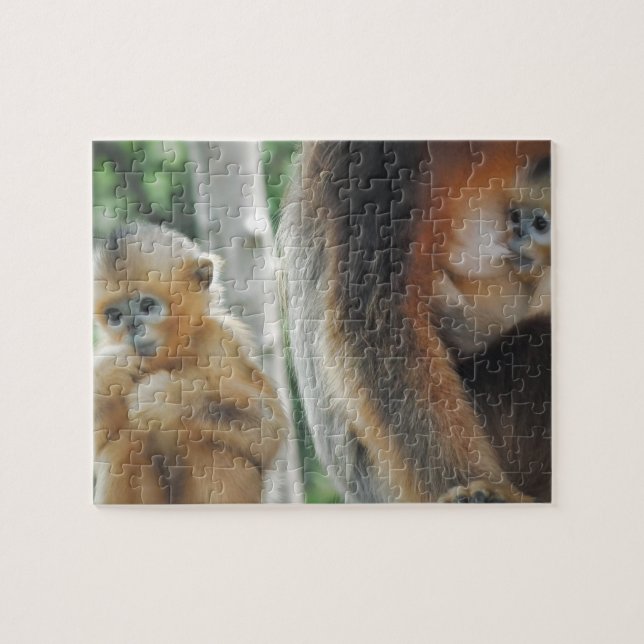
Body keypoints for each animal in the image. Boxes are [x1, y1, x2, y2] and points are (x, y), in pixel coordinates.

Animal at [93, 221, 289, 503]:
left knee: (209, 447)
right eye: (115, 316)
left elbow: (268, 431)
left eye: (148, 306)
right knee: (123, 443)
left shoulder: (221, 341)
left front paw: (169, 397)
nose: (132, 327)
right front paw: (108, 372)